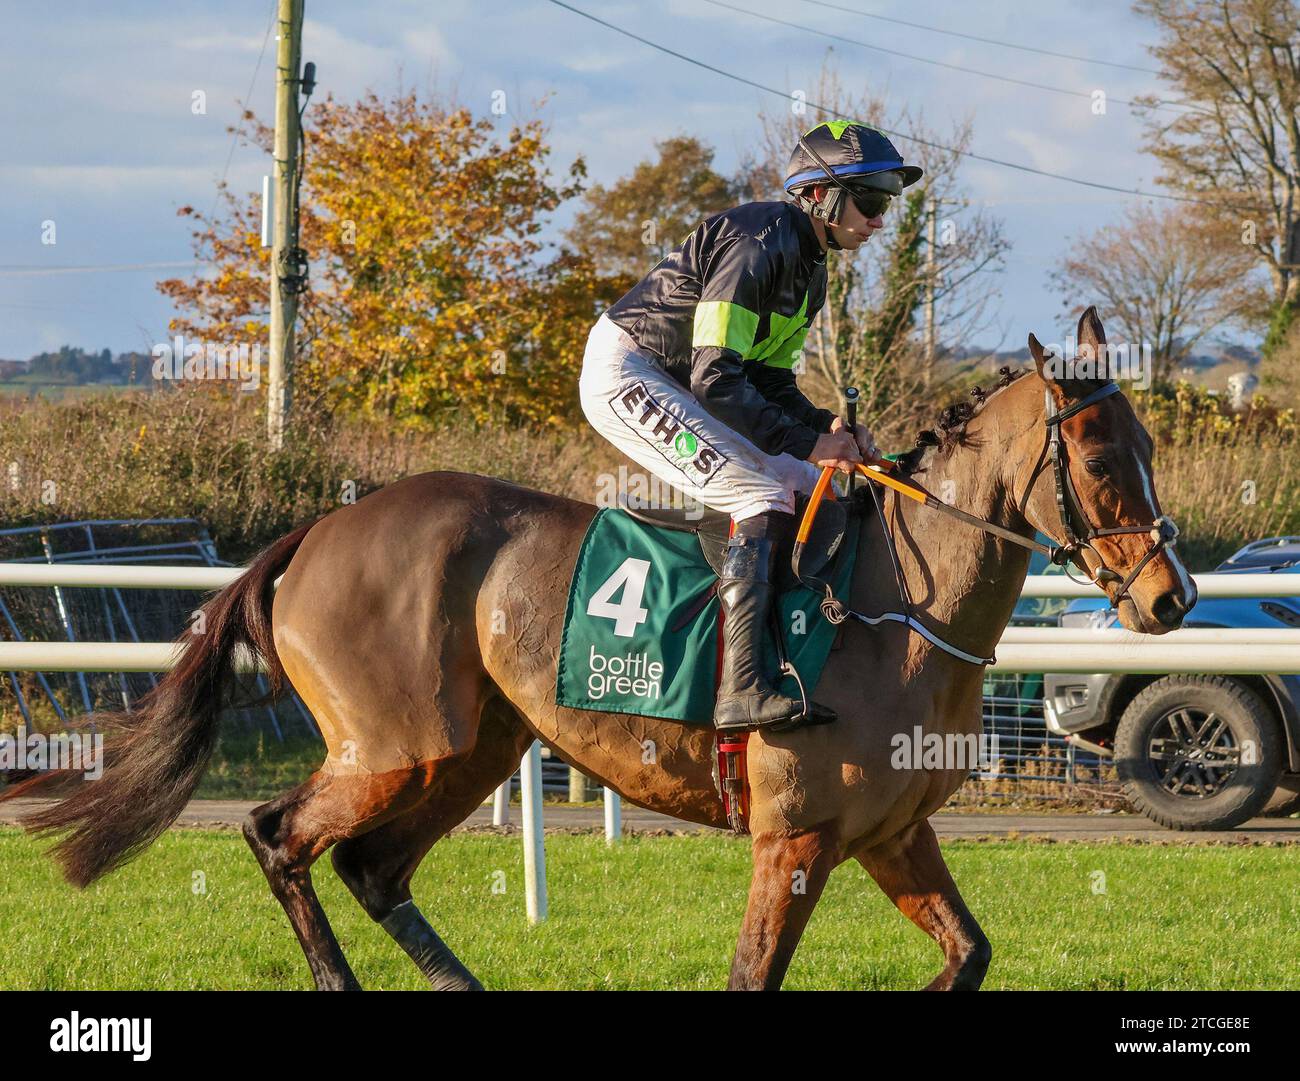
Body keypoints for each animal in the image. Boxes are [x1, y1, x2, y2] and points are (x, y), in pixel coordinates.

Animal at [5, 307, 1190, 992]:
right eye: (1099, 460)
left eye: (1146, 444)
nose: (1170, 595)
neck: (895, 605)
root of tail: (316, 531)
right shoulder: (795, 838)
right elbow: (754, 973)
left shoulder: (892, 833)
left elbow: (969, 952)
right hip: (390, 747)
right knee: (277, 836)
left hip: (471, 748)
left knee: (371, 866)